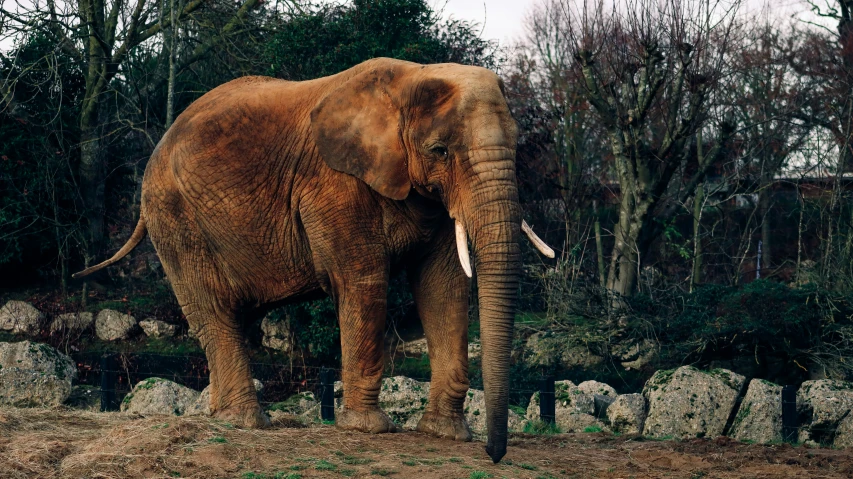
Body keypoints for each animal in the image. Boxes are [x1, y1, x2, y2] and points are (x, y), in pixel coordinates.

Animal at [71, 58, 552, 464]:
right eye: (439, 150)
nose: (494, 455)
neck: (410, 78)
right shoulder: (332, 184)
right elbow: (364, 282)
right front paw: (370, 429)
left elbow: (443, 287)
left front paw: (446, 435)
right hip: (174, 218)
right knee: (215, 313)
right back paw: (248, 422)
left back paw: (225, 418)